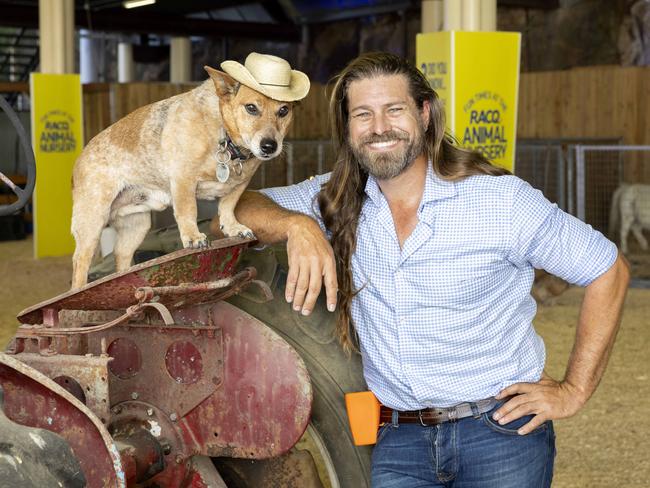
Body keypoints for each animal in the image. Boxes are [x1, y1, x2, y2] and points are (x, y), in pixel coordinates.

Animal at [71, 52, 308, 290]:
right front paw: (193, 237)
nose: (269, 146)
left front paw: (233, 228)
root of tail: (79, 160)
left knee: (121, 258)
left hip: (137, 226)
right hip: (93, 223)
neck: (225, 139)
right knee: (80, 263)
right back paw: (81, 291)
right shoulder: (184, 179)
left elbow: (227, 207)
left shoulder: (239, 185)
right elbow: (188, 211)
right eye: (251, 108)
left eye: (284, 111)